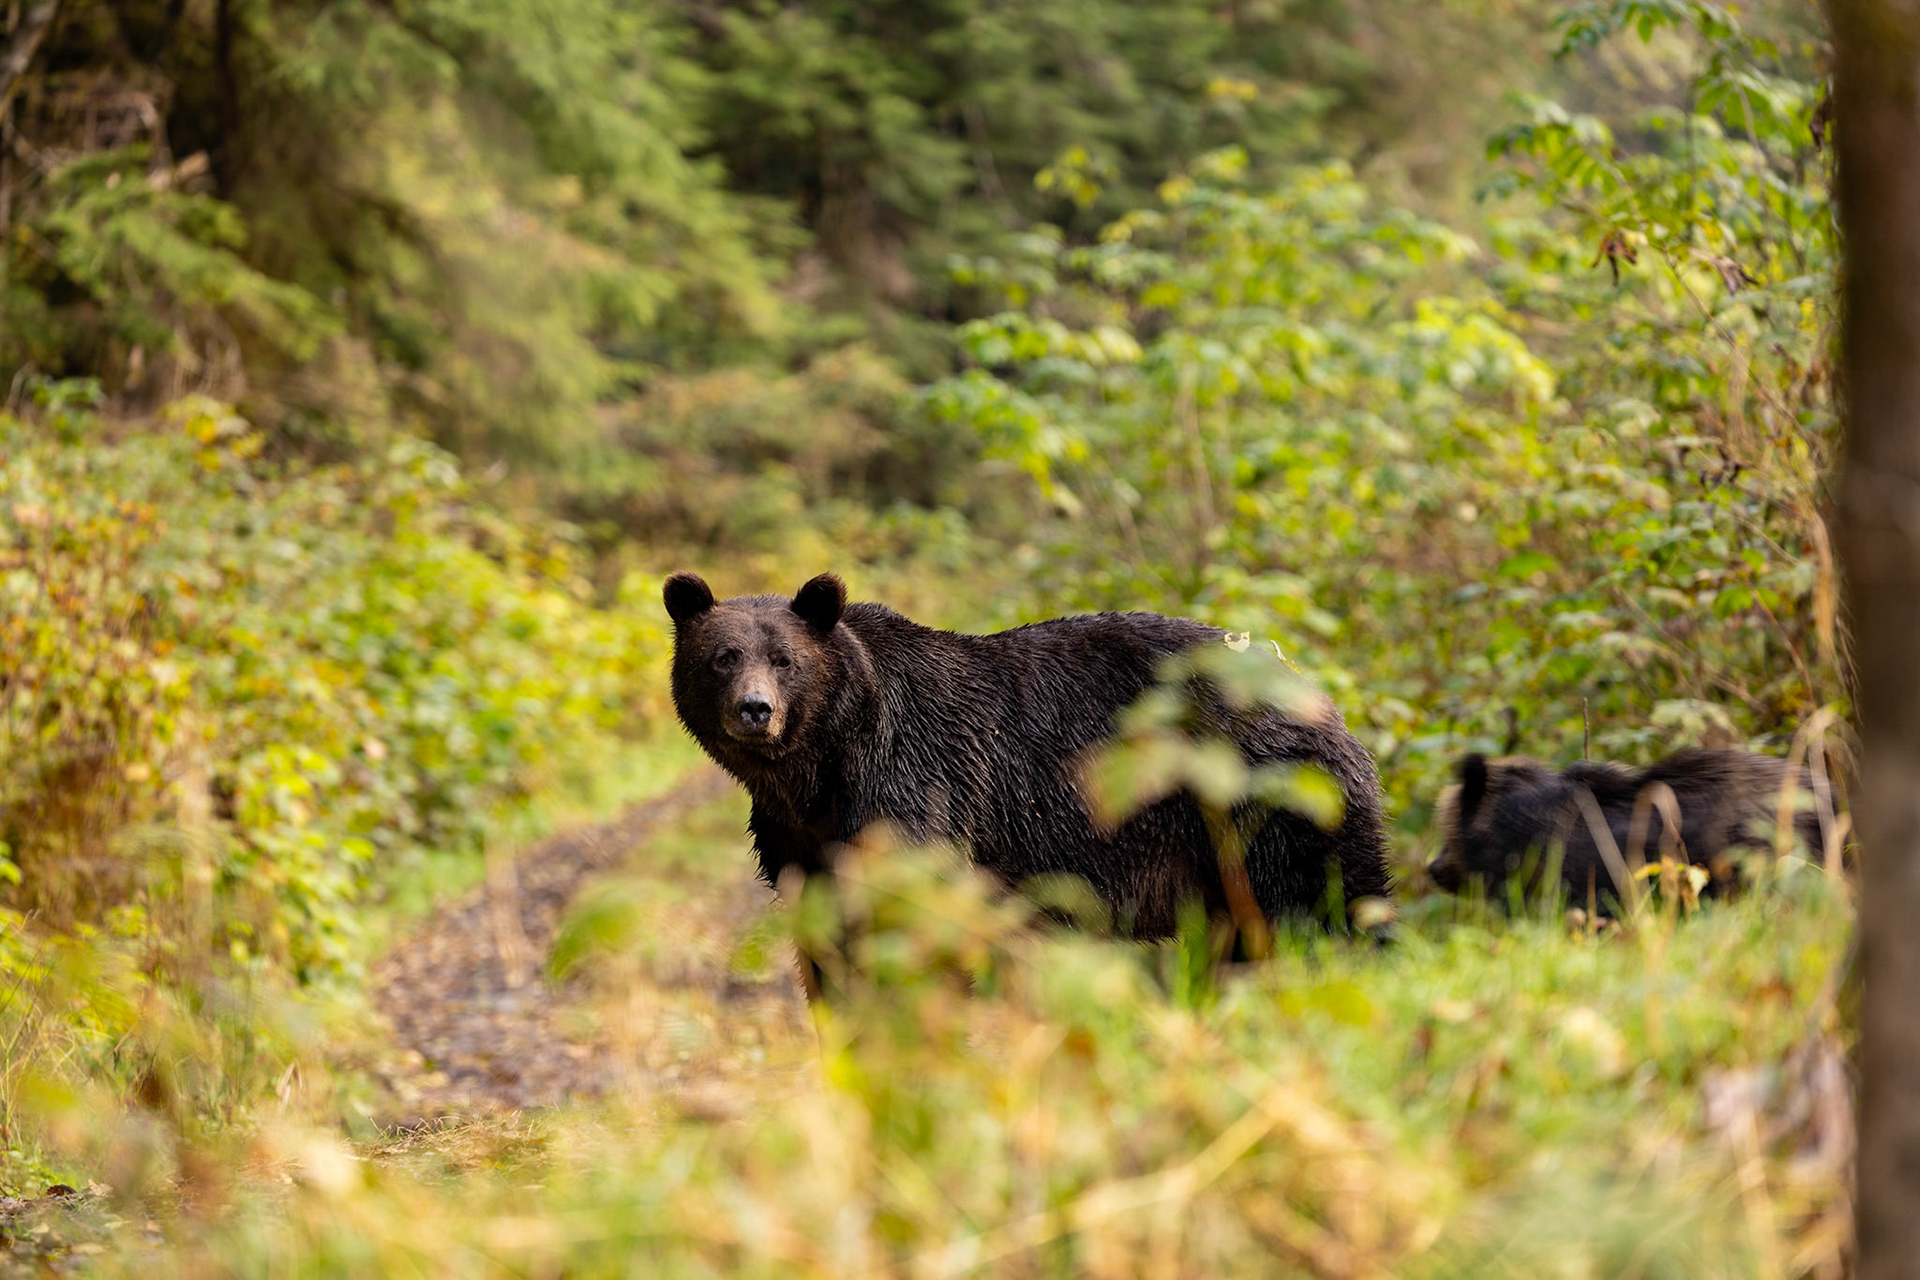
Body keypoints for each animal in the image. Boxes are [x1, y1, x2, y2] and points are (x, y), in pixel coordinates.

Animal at [663, 571, 1392, 987]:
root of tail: (1324, 700)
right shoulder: (798, 840)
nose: (755, 710)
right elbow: (828, 943)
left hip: (1273, 806)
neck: (821, 764)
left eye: (784, 659)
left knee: (1323, 919)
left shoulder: (911, 789)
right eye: (723, 656)